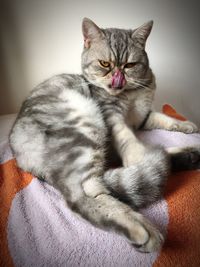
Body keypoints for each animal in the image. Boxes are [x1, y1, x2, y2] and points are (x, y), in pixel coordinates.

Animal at [9, 18, 200, 253]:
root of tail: (19, 153)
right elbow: (128, 139)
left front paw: (186, 124)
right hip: (85, 128)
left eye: (129, 65)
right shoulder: (112, 115)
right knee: (83, 196)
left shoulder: (143, 117)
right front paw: (137, 156)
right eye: (104, 64)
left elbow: (163, 117)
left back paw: (188, 155)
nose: (117, 79)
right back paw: (142, 227)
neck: (132, 94)